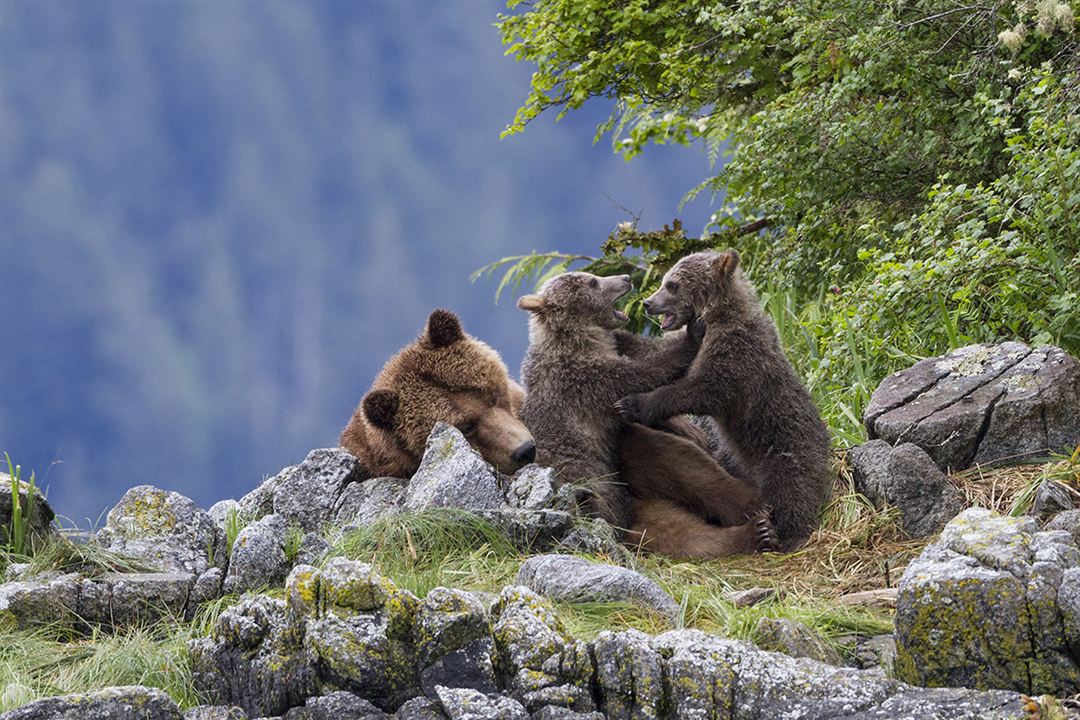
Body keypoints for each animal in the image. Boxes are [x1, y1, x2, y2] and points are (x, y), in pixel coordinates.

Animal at [518, 269, 773, 557]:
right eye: (593, 281)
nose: (625, 277)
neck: (579, 339)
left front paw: (688, 428)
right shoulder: (581, 377)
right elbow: (642, 372)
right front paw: (693, 335)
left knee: (680, 467)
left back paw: (756, 514)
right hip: (609, 500)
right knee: (682, 535)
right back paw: (754, 531)